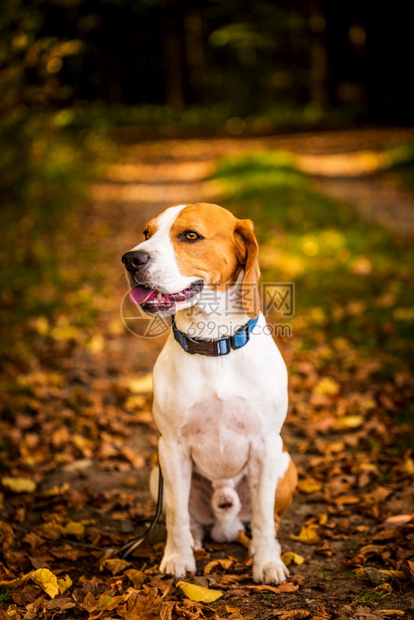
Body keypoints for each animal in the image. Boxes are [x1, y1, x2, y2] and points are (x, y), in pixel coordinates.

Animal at [121, 202, 296, 580]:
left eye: (190, 235)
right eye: (147, 233)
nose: (130, 259)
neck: (213, 342)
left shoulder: (266, 445)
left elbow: (263, 516)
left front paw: (267, 563)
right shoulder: (171, 447)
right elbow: (175, 513)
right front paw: (177, 557)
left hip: (284, 464)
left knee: (267, 519)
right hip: (157, 471)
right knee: (188, 517)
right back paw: (194, 540)